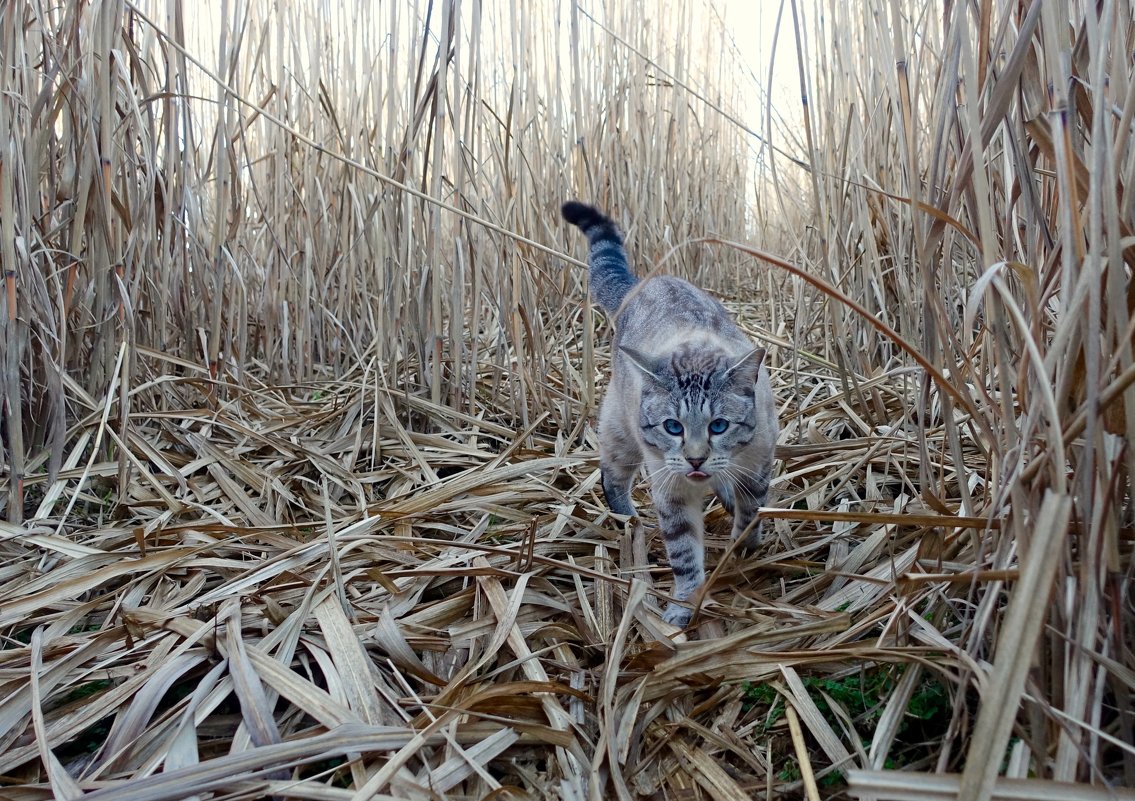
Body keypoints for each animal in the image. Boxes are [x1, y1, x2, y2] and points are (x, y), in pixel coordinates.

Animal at [560, 198, 780, 626]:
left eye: (719, 425)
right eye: (672, 427)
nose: (695, 459)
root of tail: (644, 284)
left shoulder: (757, 466)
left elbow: (750, 510)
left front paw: (743, 548)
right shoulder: (670, 490)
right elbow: (684, 553)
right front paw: (683, 605)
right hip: (622, 436)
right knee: (611, 477)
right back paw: (629, 521)